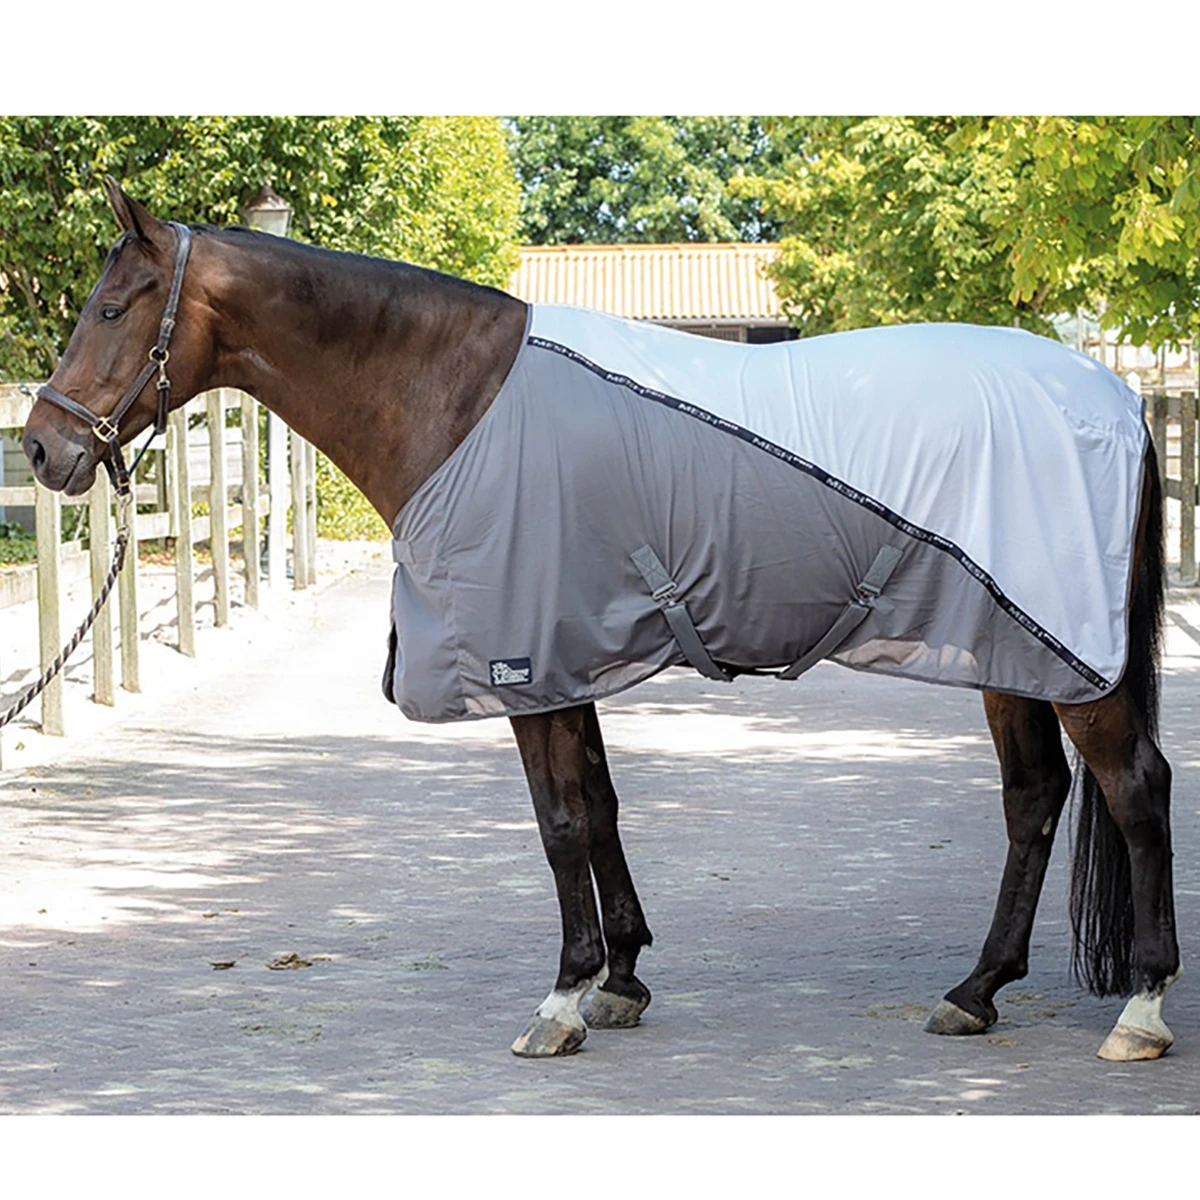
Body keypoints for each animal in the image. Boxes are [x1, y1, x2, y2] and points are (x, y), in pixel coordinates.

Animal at [21, 180, 1181, 1062]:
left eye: (115, 307)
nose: (42, 447)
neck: (461, 399)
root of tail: (1120, 400)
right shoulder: (564, 660)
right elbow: (603, 807)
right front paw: (621, 976)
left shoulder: (523, 660)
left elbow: (560, 823)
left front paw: (562, 998)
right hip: (1010, 651)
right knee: (1034, 799)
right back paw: (976, 990)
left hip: (1070, 656)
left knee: (1134, 788)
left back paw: (1141, 1008)